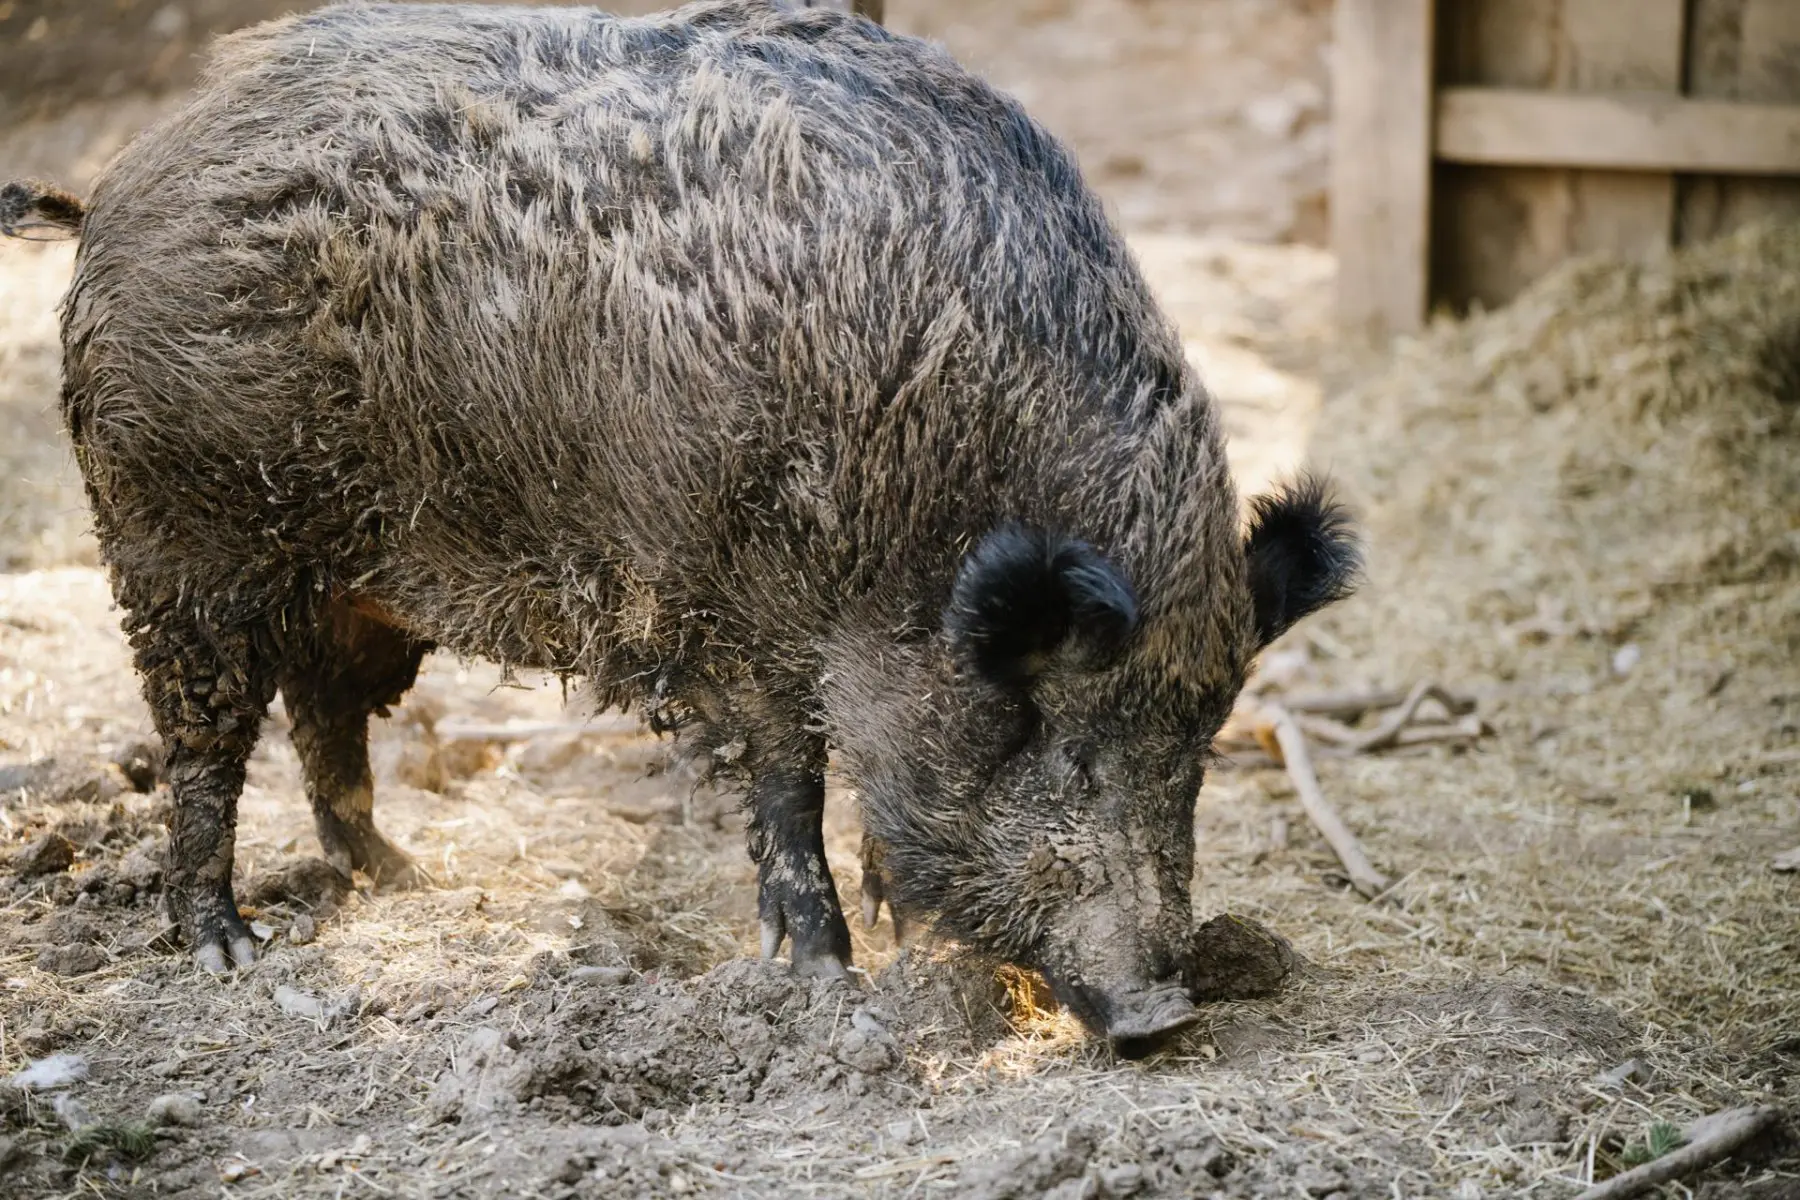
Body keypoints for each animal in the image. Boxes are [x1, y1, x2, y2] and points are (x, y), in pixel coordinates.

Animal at [0, 0, 1356, 1046]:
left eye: (1199, 749)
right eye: (1068, 744)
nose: (1162, 1016)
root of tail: (118, 181)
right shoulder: (738, 606)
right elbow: (789, 786)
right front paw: (824, 972)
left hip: (354, 582)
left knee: (325, 716)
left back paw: (402, 880)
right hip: (176, 540)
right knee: (206, 743)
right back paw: (231, 948)